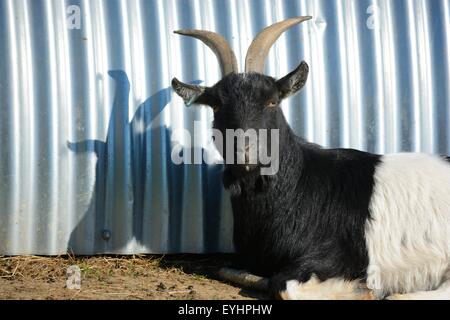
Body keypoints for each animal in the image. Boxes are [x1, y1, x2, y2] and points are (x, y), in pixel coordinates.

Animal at [172, 15, 450, 300]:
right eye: (216, 106)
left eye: (272, 101)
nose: (244, 150)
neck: (299, 188)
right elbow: (231, 271)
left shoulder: (340, 255)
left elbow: (282, 285)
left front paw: (363, 290)